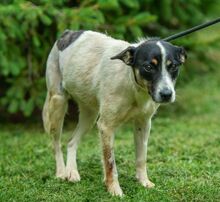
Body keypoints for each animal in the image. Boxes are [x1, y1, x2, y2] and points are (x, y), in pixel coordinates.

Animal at [42, 29, 186, 196]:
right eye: (149, 67)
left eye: (173, 66)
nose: (167, 94)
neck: (132, 84)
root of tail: (68, 32)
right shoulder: (106, 126)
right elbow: (110, 162)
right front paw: (114, 190)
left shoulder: (143, 123)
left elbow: (141, 157)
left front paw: (144, 182)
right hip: (57, 103)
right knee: (56, 143)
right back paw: (61, 172)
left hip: (90, 115)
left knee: (71, 142)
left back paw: (72, 171)